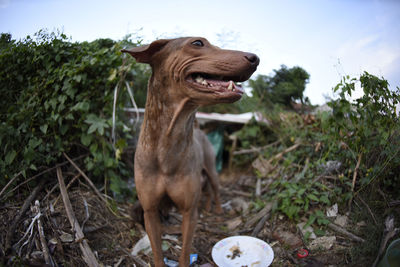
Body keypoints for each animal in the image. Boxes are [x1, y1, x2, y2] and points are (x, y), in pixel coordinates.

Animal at [122, 37, 260, 266]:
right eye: (197, 43)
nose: (255, 58)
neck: (168, 142)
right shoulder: (150, 211)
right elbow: (157, 250)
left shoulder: (189, 212)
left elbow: (185, 249)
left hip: (211, 170)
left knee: (214, 189)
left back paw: (217, 209)